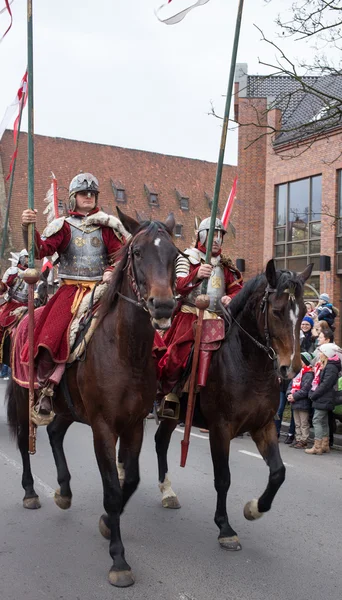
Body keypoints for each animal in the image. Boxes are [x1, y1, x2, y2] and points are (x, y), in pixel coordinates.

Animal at [6, 213, 179, 588]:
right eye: (138, 253)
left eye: (174, 255)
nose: (163, 305)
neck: (126, 350)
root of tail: (24, 316)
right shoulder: (103, 427)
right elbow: (113, 488)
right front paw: (119, 560)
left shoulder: (133, 425)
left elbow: (131, 480)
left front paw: (106, 523)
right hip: (25, 396)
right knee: (26, 442)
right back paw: (30, 492)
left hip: (67, 408)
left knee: (54, 432)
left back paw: (64, 491)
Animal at [154, 260, 312, 552]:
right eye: (276, 311)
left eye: (305, 311)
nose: (292, 368)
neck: (248, 364)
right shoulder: (220, 429)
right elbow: (223, 478)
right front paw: (225, 528)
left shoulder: (263, 426)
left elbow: (278, 472)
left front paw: (254, 508)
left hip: (173, 413)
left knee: (160, 441)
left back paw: (167, 491)